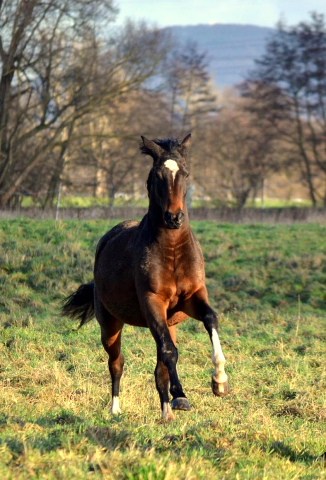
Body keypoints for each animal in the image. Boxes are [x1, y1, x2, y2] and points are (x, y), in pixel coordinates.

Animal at [62, 134, 228, 420]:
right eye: (157, 175)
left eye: (185, 173)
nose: (174, 218)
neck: (172, 251)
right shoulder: (152, 303)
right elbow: (169, 352)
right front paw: (181, 397)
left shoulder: (192, 298)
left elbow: (210, 319)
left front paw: (219, 380)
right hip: (110, 325)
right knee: (117, 363)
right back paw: (116, 408)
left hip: (170, 323)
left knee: (160, 367)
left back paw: (166, 414)